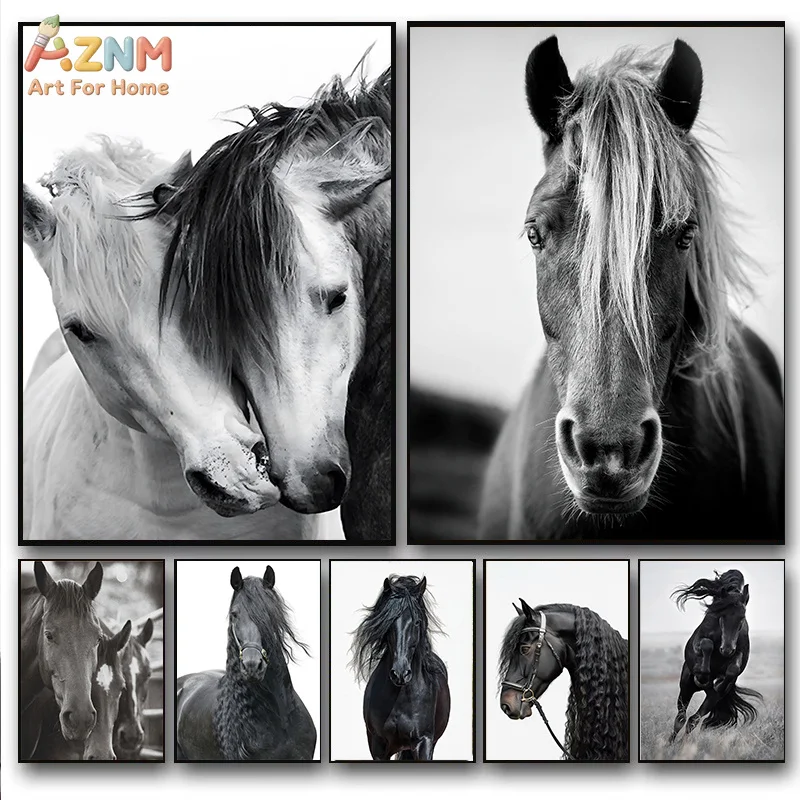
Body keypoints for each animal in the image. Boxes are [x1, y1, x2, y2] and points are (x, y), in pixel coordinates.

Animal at [668, 574, 761, 741]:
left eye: (742, 617)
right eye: (722, 615)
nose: (727, 649)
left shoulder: (739, 652)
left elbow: (733, 668)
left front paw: (720, 683)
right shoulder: (699, 642)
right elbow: (707, 644)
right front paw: (703, 675)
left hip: (711, 699)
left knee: (693, 719)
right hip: (686, 687)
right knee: (681, 718)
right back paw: (670, 743)